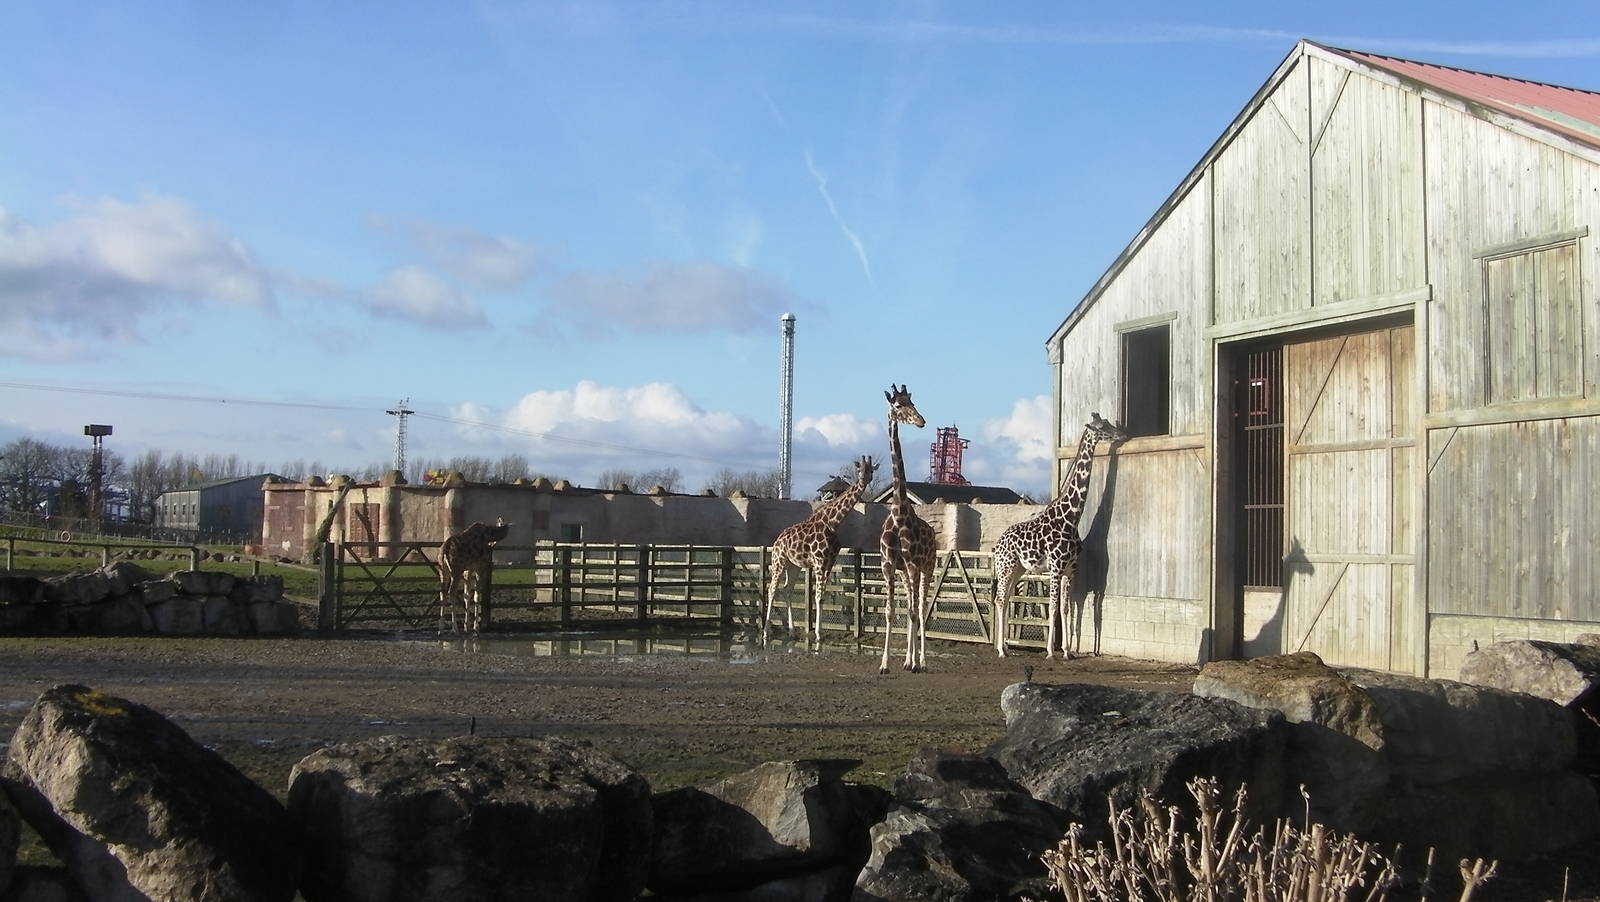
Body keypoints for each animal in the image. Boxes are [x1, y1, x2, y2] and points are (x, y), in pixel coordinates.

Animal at [765, 455, 878, 639]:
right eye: (859, 469)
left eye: (871, 470)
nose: (864, 478)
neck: (833, 522)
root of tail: (777, 541)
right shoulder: (818, 562)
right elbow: (817, 596)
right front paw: (817, 634)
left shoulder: (829, 562)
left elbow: (822, 596)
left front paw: (818, 631)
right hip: (778, 561)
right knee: (772, 589)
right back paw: (766, 631)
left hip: (793, 565)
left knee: (787, 589)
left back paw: (792, 630)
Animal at [991, 413, 1127, 659]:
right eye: (1102, 428)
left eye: (1110, 423)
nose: (1122, 435)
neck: (1071, 518)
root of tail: (997, 545)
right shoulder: (1055, 568)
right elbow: (1053, 607)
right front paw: (1050, 652)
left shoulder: (1071, 570)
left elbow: (1066, 608)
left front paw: (1067, 651)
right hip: (1006, 567)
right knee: (999, 599)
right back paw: (1000, 650)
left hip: (1018, 569)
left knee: (1006, 599)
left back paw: (1005, 647)